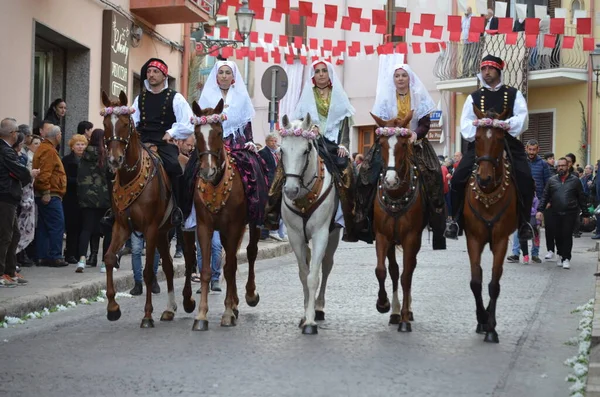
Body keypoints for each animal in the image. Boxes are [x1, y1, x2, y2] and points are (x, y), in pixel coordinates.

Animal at [101, 90, 178, 328]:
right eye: (105, 123)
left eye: (126, 123)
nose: (114, 160)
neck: (131, 175)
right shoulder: (122, 226)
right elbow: (109, 258)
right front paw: (113, 308)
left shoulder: (150, 229)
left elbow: (147, 272)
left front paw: (147, 315)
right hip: (163, 232)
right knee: (169, 266)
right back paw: (170, 309)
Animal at [180, 100, 260, 332]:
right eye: (197, 133)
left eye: (218, 132)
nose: (208, 171)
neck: (216, 184)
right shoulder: (204, 227)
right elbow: (207, 269)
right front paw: (201, 316)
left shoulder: (234, 226)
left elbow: (230, 267)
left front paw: (226, 313)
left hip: (251, 224)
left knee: (250, 253)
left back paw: (249, 296)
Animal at [278, 113, 340, 334]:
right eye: (281, 150)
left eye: (305, 150)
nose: (290, 190)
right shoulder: (295, 236)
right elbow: (304, 275)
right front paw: (306, 314)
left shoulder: (321, 233)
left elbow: (314, 276)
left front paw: (311, 321)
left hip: (333, 236)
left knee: (327, 265)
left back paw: (319, 307)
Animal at [370, 111, 426, 332]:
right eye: (382, 143)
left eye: (403, 143)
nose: (390, 181)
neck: (396, 194)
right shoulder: (382, 236)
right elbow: (382, 271)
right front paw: (383, 304)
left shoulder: (411, 238)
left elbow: (406, 275)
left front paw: (404, 319)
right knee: (394, 271)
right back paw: (394, 312)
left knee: (409, 270)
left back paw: (406, 311)